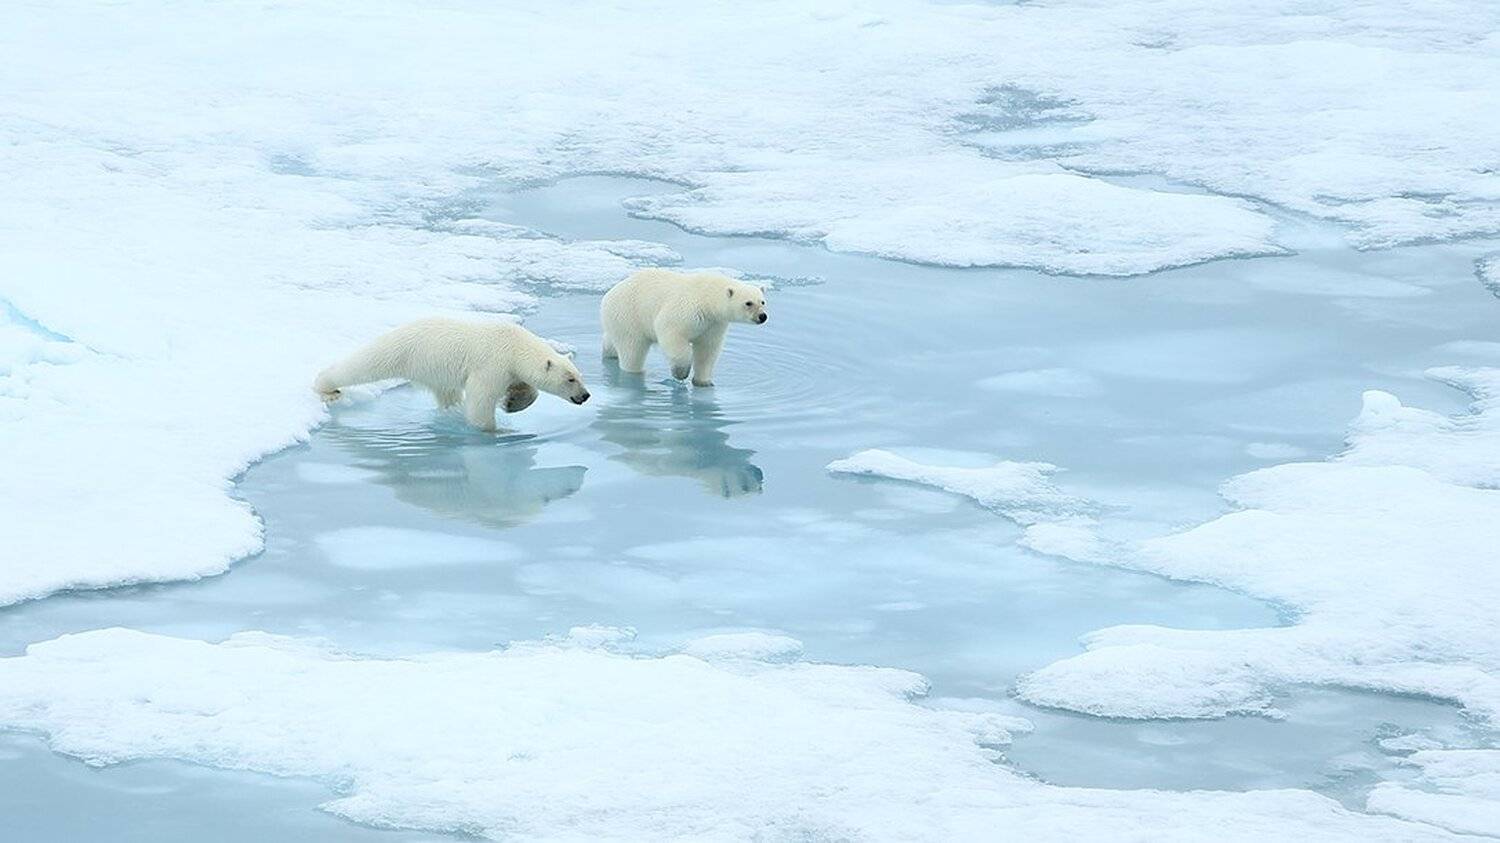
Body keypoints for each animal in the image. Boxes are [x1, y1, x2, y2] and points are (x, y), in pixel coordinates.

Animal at [313, 317, 590, 431]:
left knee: (447, 393)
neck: (513, 345)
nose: (586, 395)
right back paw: (326, 388)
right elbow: (480, 400)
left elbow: (526, 388)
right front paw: (492, 430)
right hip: (402, 351)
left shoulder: (510, 369)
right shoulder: (491, 365)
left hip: (433, 369)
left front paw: (513, 402)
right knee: (363, 365)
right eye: (570, 379)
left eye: (581, 376)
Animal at [600, 268, 768, 387]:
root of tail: (608, 296)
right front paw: (680, 373)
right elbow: (671, 332)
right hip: (629, 316)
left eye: (762, 301)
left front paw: (703, 381)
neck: (707, 297)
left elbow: (707, 349)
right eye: (748, 303)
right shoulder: (687, 309)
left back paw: (609, 354)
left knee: (612, 341)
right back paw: (635, 372)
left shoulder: (714, 324)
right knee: (632, 351)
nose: (763, 316)